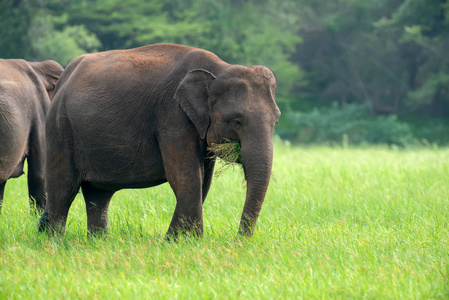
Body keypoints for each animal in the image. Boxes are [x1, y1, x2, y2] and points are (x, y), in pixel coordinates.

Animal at [38, 43, 278, 238]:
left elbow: (204, 180)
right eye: (236, 121)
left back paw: (98, 241)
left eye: (276, 119)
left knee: (98, 194)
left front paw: (175, 240)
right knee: (63, 188)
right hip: (59, 129)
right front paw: (188, 241)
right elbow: (186, 175)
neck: (219, 68)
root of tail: (64, 77)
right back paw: (55, 242)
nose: (239, 241)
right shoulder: (173, 116)